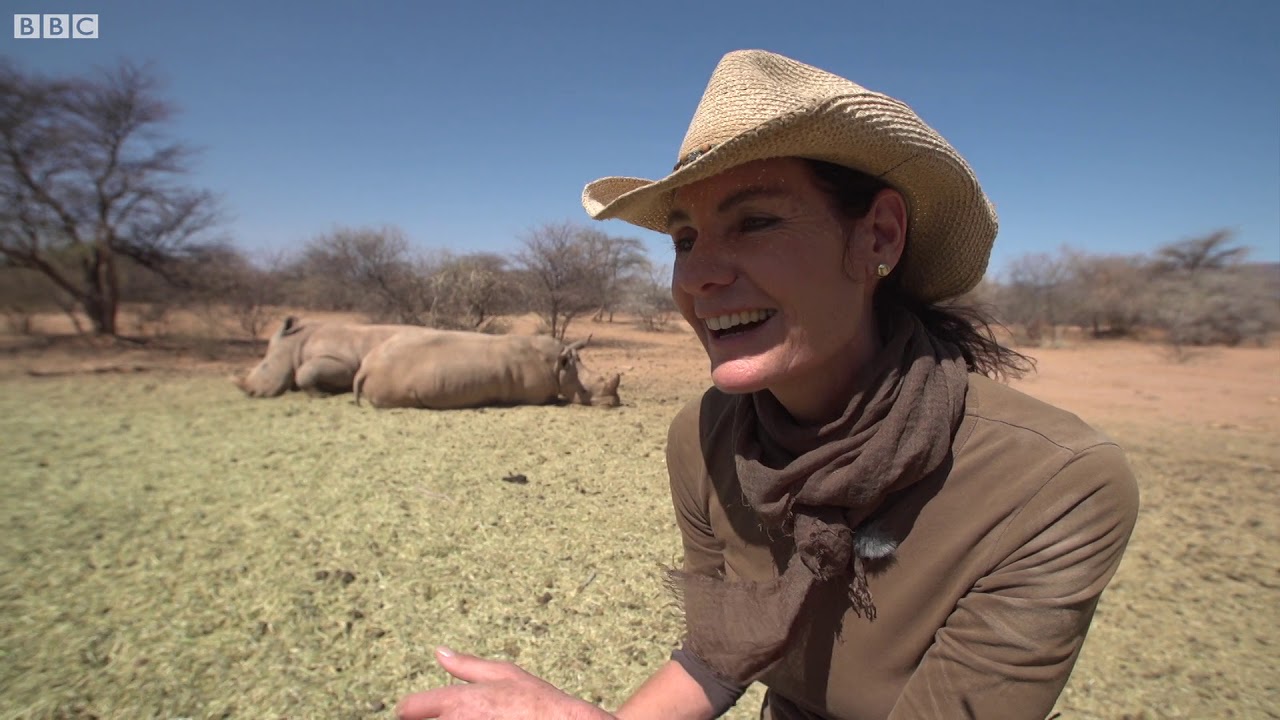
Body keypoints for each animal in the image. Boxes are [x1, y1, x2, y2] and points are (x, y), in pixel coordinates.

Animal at [235, 317, 413, 398]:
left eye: (264, 367)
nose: (250, 393)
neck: (294, 344)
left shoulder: (344, 364)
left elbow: (304, 372)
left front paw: (322, 395)